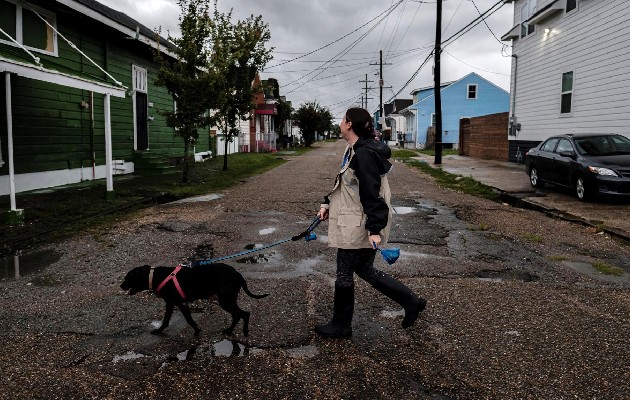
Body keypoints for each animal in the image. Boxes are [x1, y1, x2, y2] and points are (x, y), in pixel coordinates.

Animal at [121, 264, 270, 336]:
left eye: (127, 278)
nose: (121, 286)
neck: (155, 276)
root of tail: (237, 273)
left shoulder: (179, 303)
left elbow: (187, 319)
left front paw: (196, 330)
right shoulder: (173, 303)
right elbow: (169, 319)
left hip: (225, 301)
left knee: (244, 314)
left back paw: (244, 332)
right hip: (228, 300)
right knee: (237, 315)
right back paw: (229, 331)